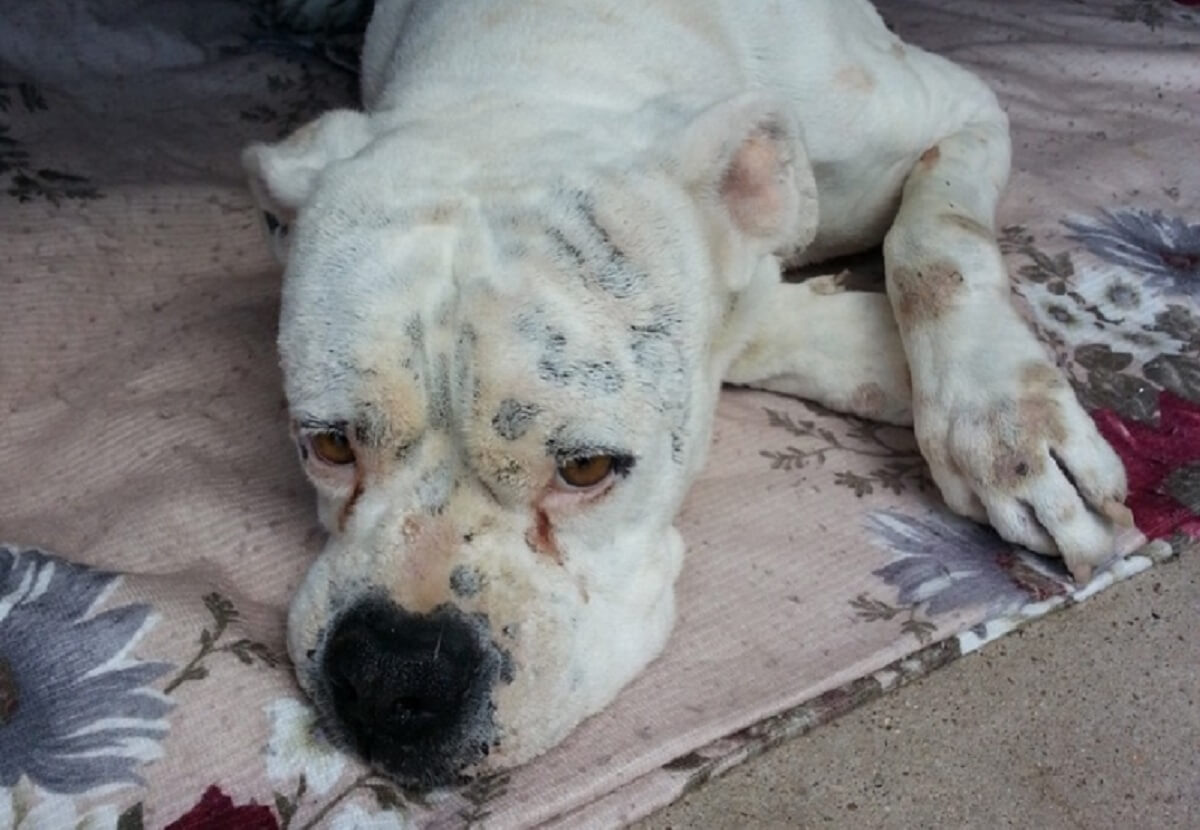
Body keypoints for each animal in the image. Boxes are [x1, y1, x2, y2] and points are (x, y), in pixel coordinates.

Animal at [241, 0, 1132, 791]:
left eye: (588, 469)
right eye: (326, 444)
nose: (392, 676)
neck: (550, 51)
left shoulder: (961, 110)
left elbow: (934, 245)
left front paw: (1007, 425)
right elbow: (774, 325)